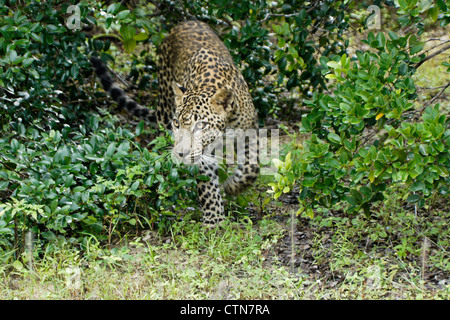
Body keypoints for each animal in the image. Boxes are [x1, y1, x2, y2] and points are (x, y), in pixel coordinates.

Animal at [90, 20, 260, 225]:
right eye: (177, 124)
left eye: (201, 125)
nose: (181, 153)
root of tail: (185, 22)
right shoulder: (202, 152)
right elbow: (208, 186)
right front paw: (214, 219)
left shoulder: (251, 131)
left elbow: (252, 167)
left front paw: (233, 187)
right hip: (164, 104)